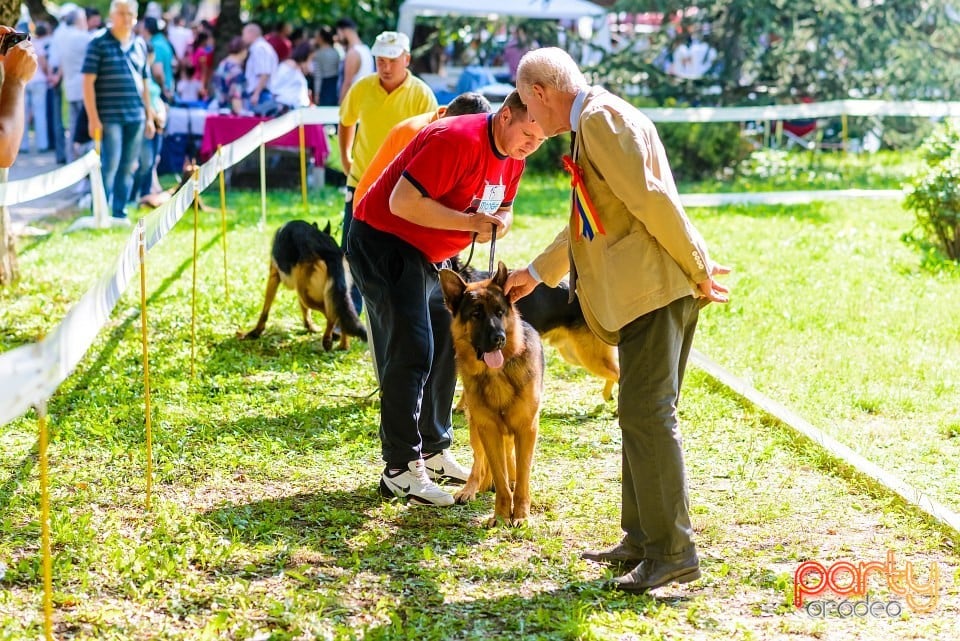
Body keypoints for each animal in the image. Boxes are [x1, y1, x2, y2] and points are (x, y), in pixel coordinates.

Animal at [242, 220, 370, 350]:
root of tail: (328, 248)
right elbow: (305, 311)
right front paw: (310, 327)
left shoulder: (274, 277)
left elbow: (265, 309)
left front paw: (256, 331)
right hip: (330, 292)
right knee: (340, 314)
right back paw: (343, 345)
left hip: (307, 295)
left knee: (331, 316)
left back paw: (327, 340)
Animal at [438, 262, 544, 524]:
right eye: (476, 314)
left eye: (500, 312)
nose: (499, 339)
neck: (496, 374)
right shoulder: (489, 430)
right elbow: (498, 474)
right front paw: (502, 515)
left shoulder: (526, 429)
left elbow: (523, 475)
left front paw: (521, 514)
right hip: (476, 430)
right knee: (480, 462)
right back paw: (472, 487)